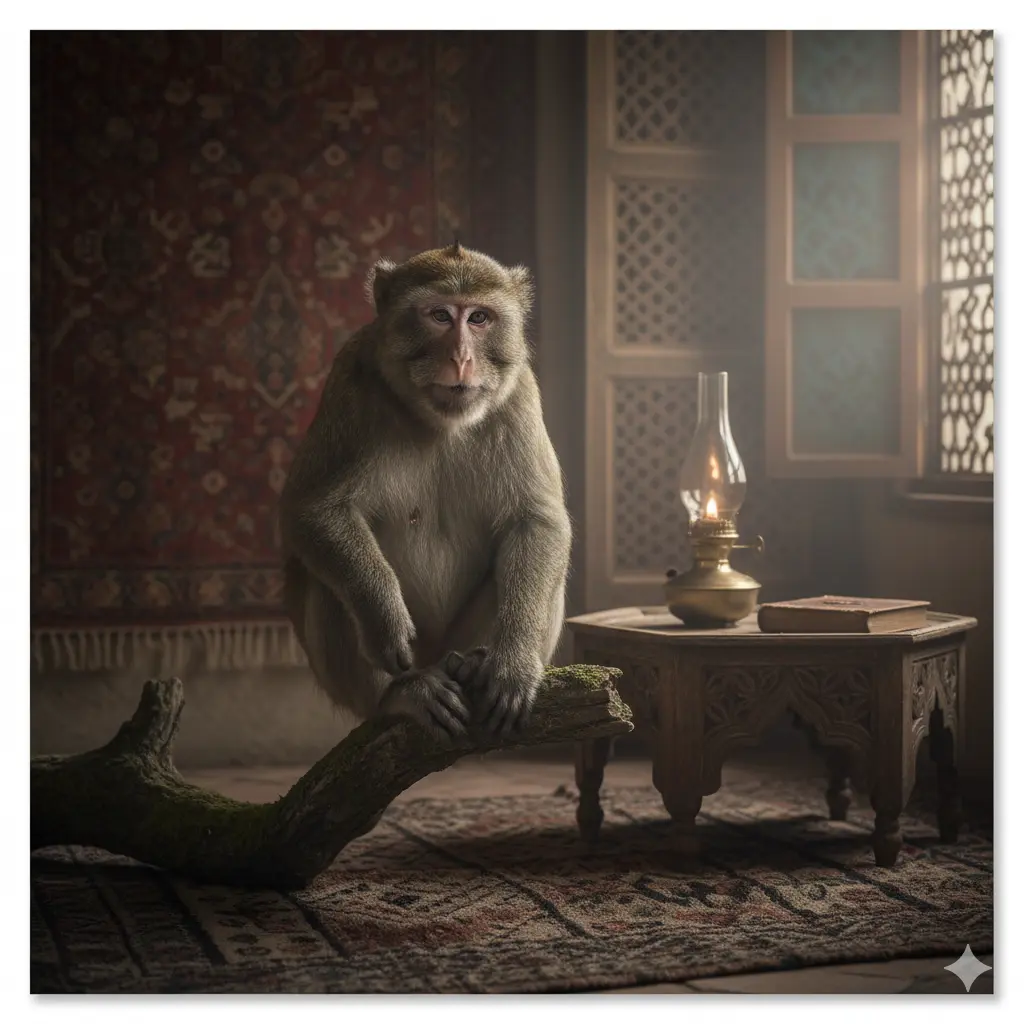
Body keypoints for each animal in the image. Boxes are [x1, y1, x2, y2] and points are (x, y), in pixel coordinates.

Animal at [279, 243, 572, 745]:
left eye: (479, 318)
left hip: (455, 641)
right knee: (326, 582)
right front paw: (383, 616)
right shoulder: (349, 381)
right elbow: (313, 510)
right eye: (439, 315)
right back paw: (404, 692)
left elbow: (537, 521)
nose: (461, 359)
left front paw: (513, 664)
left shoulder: (519, 394)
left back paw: (477, 665)